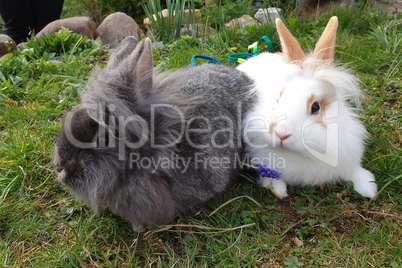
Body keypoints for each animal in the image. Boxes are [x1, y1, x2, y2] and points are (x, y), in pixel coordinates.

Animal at [237, 15, 378, 198]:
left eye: (315, 107)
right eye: (278, 99)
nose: (282, 134)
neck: (300, 154)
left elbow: (353, 170)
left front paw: (369, 188)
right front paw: (277, 188)